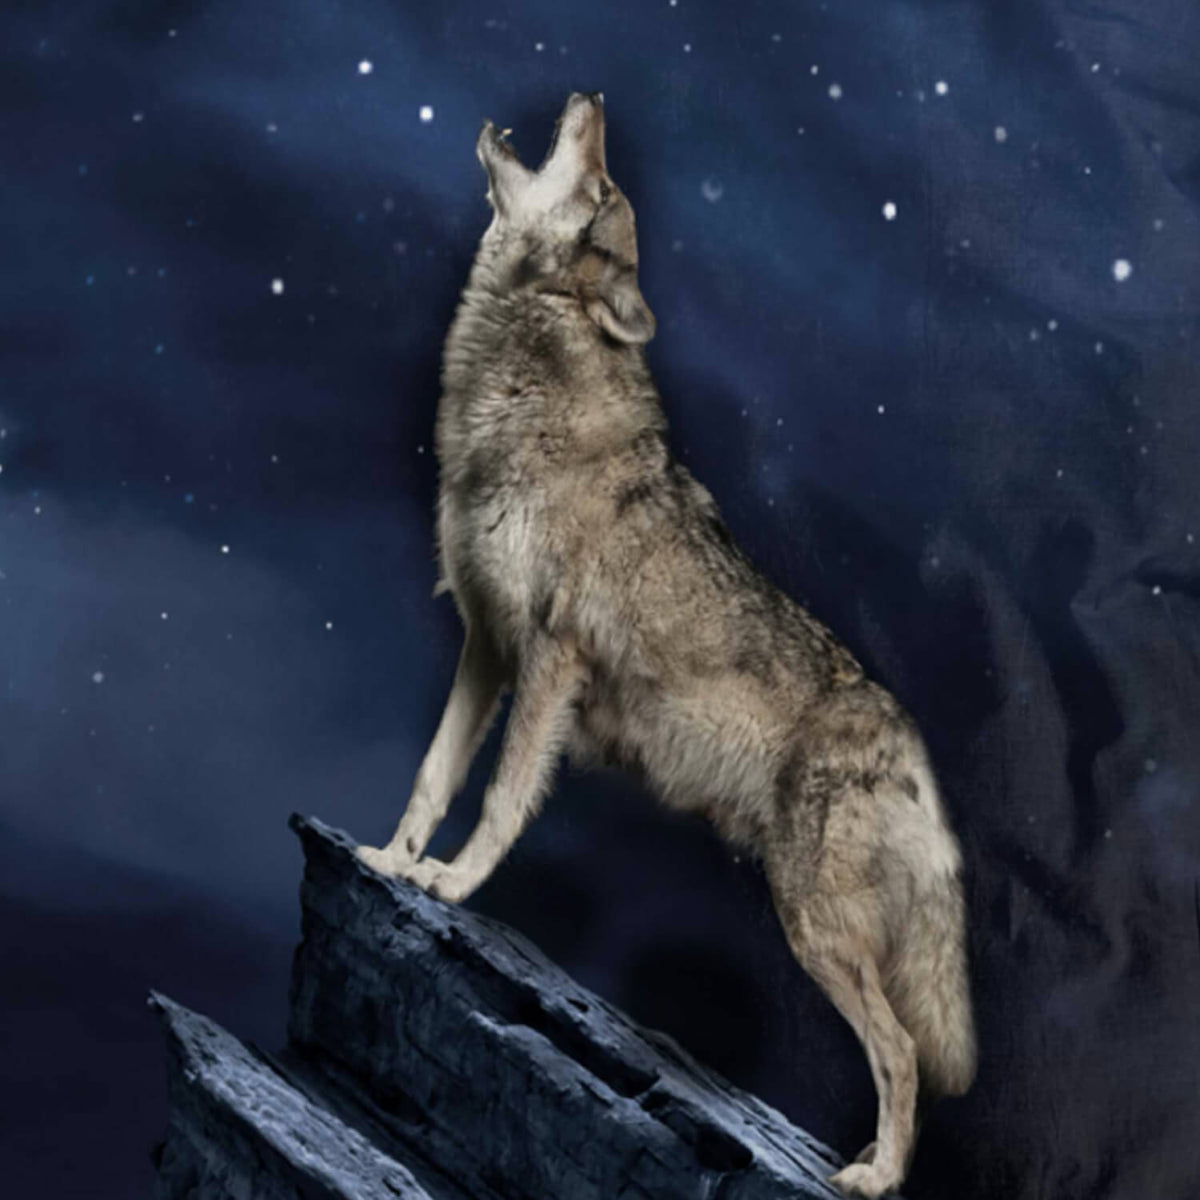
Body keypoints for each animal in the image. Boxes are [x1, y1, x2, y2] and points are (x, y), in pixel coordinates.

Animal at [357, 92, 976, 1198]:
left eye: (604, 184)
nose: (592, 101)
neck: (518, 394)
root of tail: (909, 746)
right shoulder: (484, 645)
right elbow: (433, 776)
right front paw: (390, 861)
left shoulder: (549, 662)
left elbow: (502, 800)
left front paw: (452, 887)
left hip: (812, 926)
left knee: (902, 1052)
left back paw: (870, 1177)